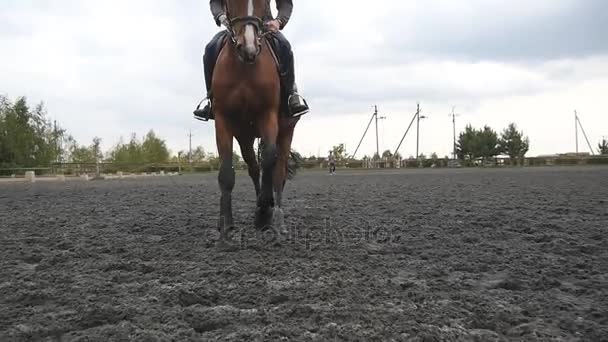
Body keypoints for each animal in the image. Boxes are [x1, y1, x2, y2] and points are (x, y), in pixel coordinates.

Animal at [211, 0, 302, 238]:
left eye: (264, 3)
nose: (249, 49)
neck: (244, 69)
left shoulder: (267, 115)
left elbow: (269, 158)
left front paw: (262, 213)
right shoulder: (223, 120)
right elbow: (226, 172)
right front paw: (226, 223)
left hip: (286, 131)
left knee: (278, 171)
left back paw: (276, 217)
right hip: (245, 135)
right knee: (253, 167)